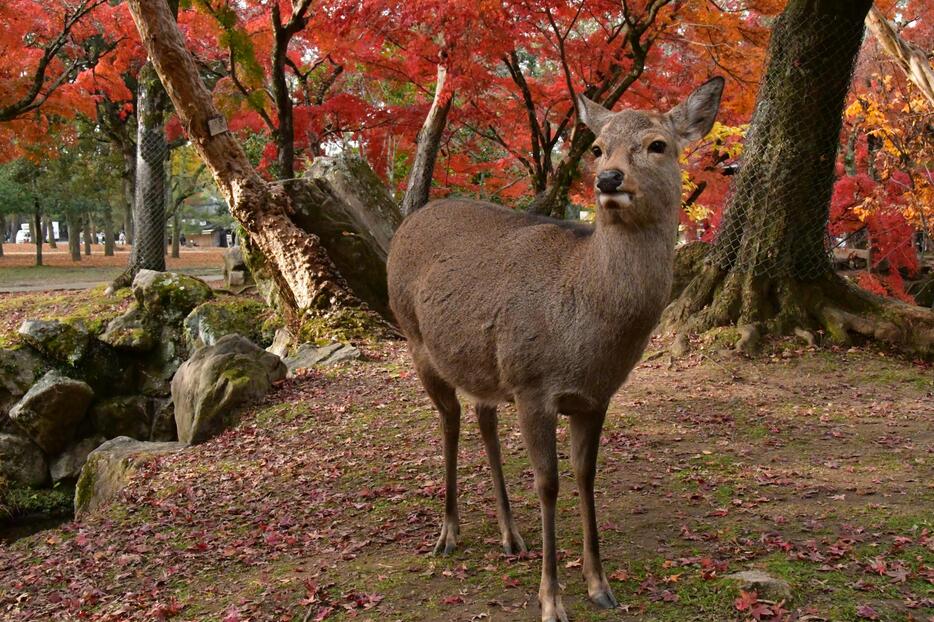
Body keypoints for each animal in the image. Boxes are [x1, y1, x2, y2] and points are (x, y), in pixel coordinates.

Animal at [384, 79, 728, 622]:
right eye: (597, 147)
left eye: (658, 144)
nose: (608, 179)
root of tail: (411, 219)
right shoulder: (532, 387)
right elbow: (548, 484)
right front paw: (551, 600)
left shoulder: (595, 397)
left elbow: (586, 477)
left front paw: (600, 585)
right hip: (416, 340)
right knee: (449, 421)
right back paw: (448, 533)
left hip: (485, 364)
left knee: (482, 418)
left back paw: (510, 536)